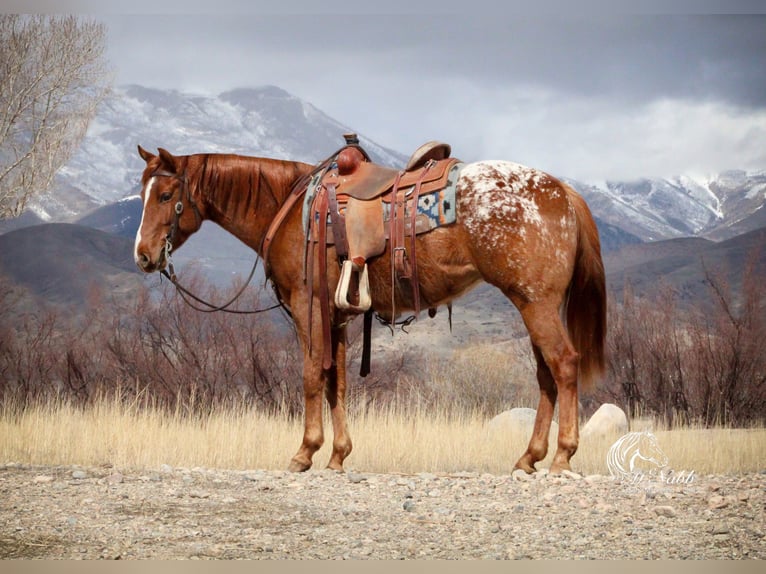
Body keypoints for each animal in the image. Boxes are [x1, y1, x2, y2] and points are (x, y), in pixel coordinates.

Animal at [136, 145, 608, 476]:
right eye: (143, 193)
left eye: (165, 195)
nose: (143, 255)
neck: (290, 209)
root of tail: (563, 191)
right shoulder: (337, 317)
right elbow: (337, 384)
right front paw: (338, 456)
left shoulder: (307, 307)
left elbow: (311, 377)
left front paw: (304, 452)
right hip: (535, 305)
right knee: (546, 376)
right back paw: (528, 458)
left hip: (536, 304)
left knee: (564, 365)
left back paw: (562, 457)